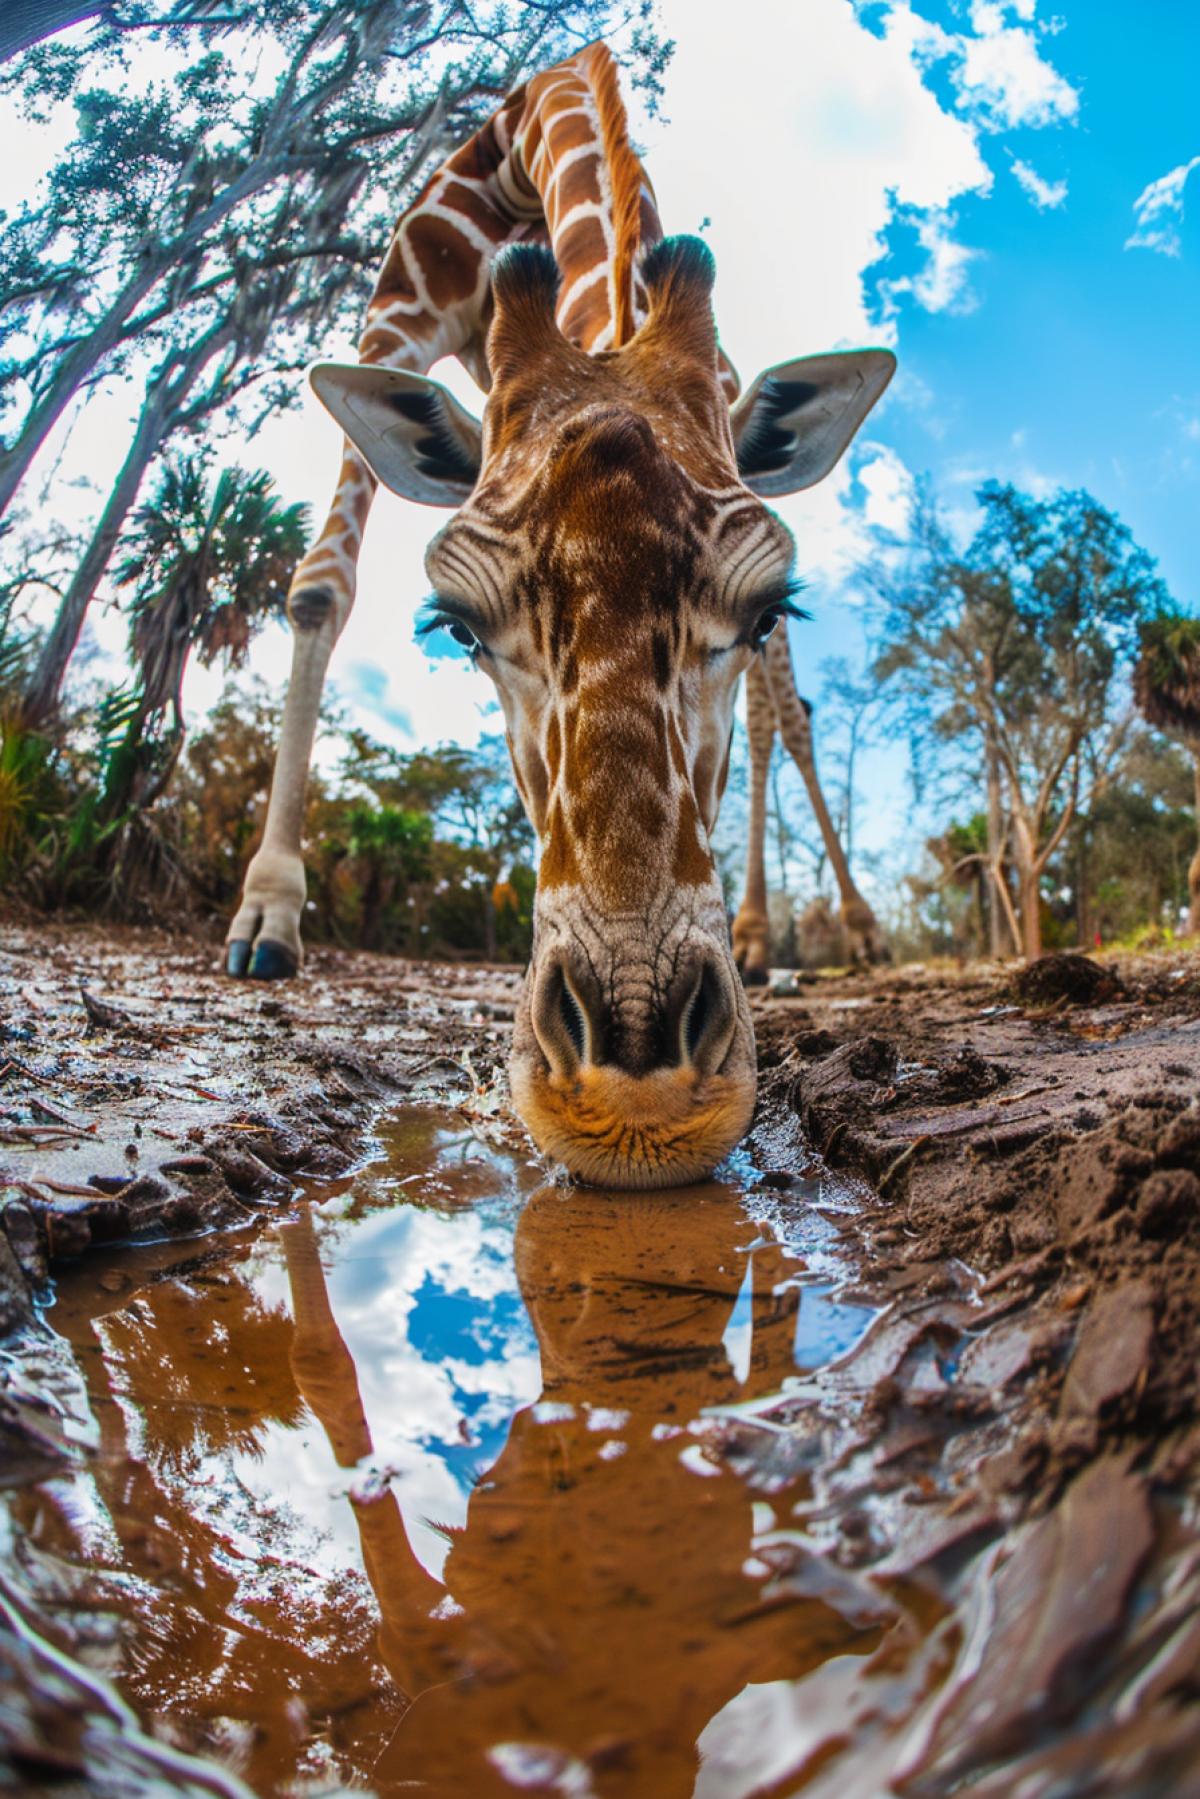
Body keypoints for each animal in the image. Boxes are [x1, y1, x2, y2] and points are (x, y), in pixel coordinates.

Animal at [226, 42, 894, 1187]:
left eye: (768, 608)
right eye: (455, 623)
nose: (634, 1094)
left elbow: (772, 711)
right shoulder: (398, 309)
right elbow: (320, 583)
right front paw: (267, 910)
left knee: (786, 721)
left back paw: (816, 933)